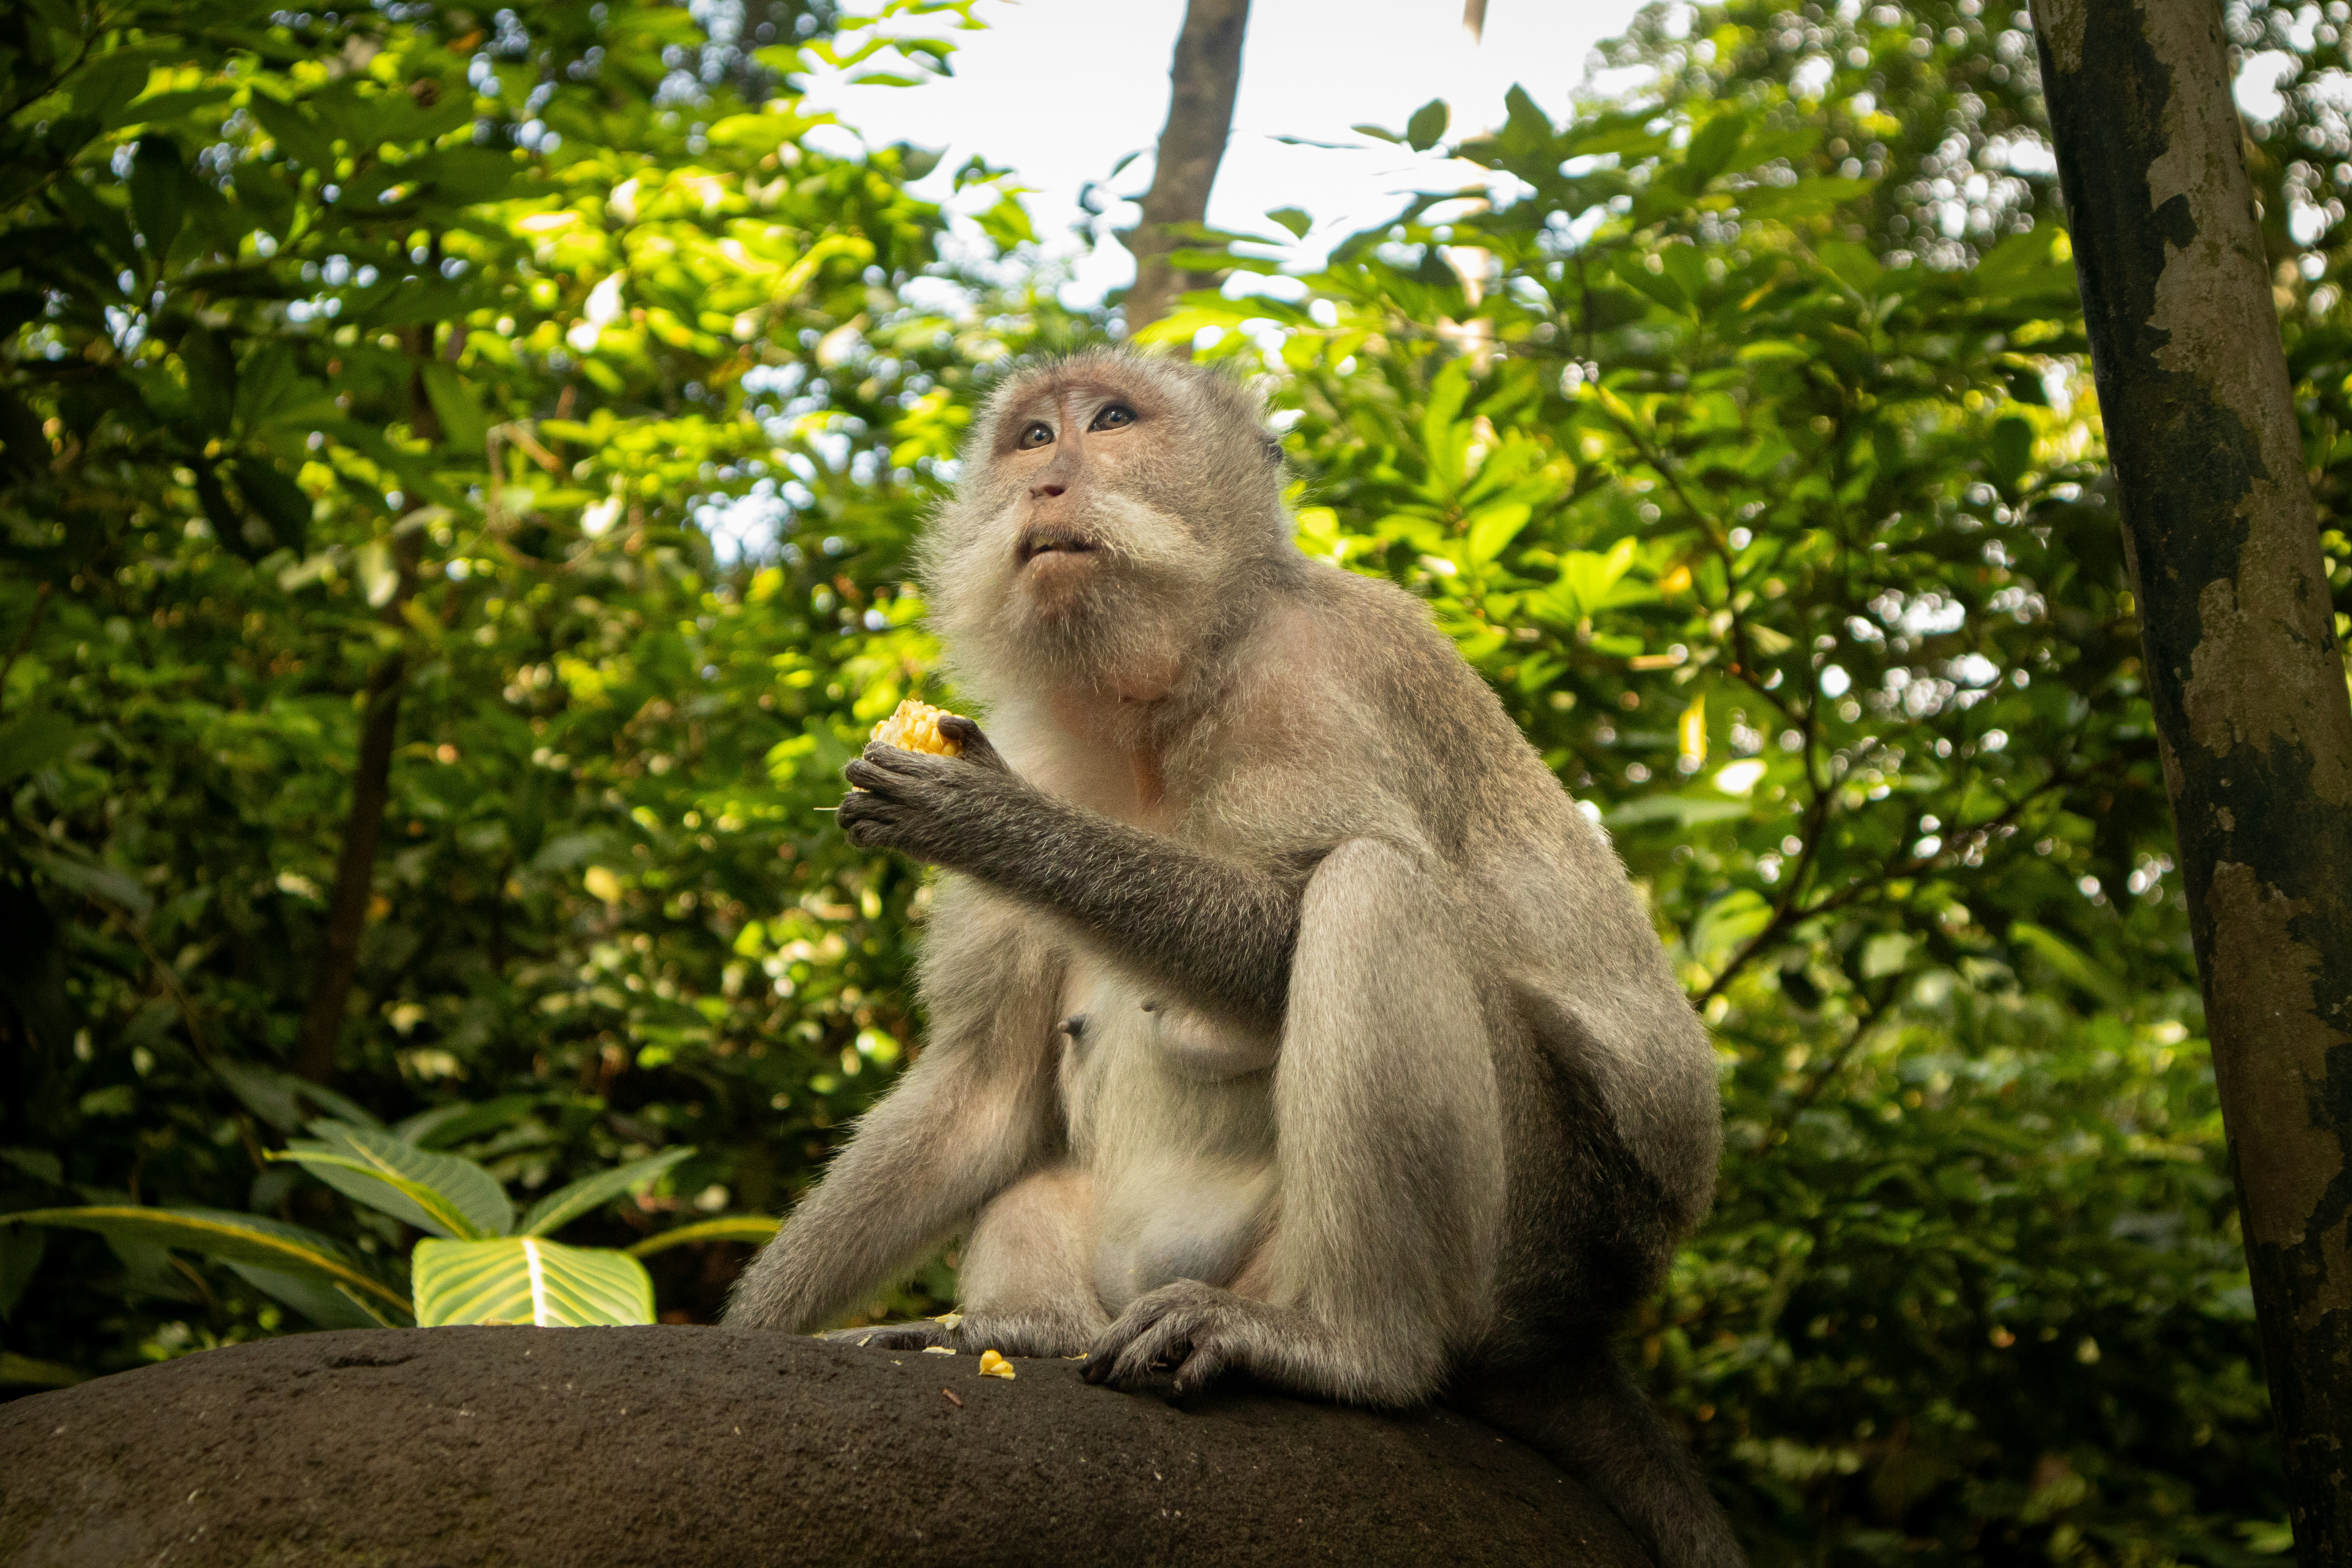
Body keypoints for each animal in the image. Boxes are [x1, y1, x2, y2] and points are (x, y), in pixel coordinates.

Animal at [725, 348, 1743, 1568]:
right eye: (1032, 438)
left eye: (1112, 421)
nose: (1048, 483)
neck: (1156, 701)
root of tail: (1578, 1337)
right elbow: (983, 1087)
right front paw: (749, 1327)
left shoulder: (1311, 685)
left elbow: (1291, 928)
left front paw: (998, 826)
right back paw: (1016, 1334)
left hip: (1541, 1238)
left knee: (1375, 896)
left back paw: (1353, 1349)